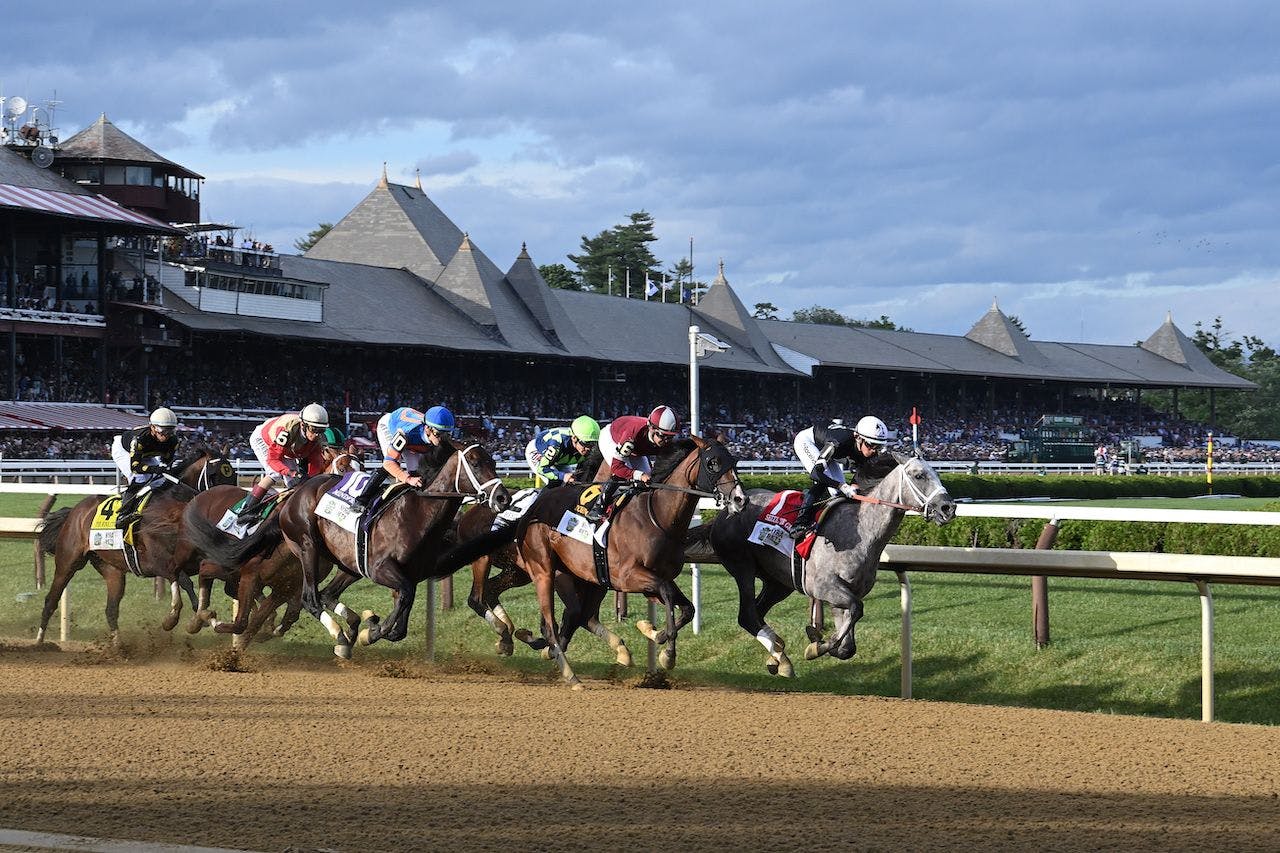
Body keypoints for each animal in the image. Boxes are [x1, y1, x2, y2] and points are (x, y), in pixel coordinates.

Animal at [35, 448, 239, 640]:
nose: (232, 502)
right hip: (68, 562)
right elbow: (185, 582)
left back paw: (119, 647)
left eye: (233, 474)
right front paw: (180, 619)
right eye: (216, 474)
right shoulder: (157, 562)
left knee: (111, 610)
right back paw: (39, 641)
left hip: (112, 570)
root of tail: (74, 512)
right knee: (50, 601)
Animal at [440, 435, 747, 686]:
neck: (658, 517)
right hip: (525, 568)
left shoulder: (653, 578)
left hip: (535, 573)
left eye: (734, 461)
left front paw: (654, 634)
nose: (740, 499)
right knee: (488, 600)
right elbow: (668, 597)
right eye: (712, 462)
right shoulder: (629, 576)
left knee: (510, 597)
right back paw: (547, 656)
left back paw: (514, 638)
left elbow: (686, 607)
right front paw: (666, 653)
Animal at [686, 448, 957, 676]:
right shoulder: (824, 586)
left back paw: (777, 655)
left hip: (778, 582)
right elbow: (857, 610)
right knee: (747, 615)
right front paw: (816, 646)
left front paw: (821, 639)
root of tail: (725, 512)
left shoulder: (844, 593)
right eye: (919, 475)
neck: (862, 531)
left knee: (758, 612)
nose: (948, 508)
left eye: (936, 473)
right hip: (743, 567)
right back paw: (781, 656)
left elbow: (848, 645)